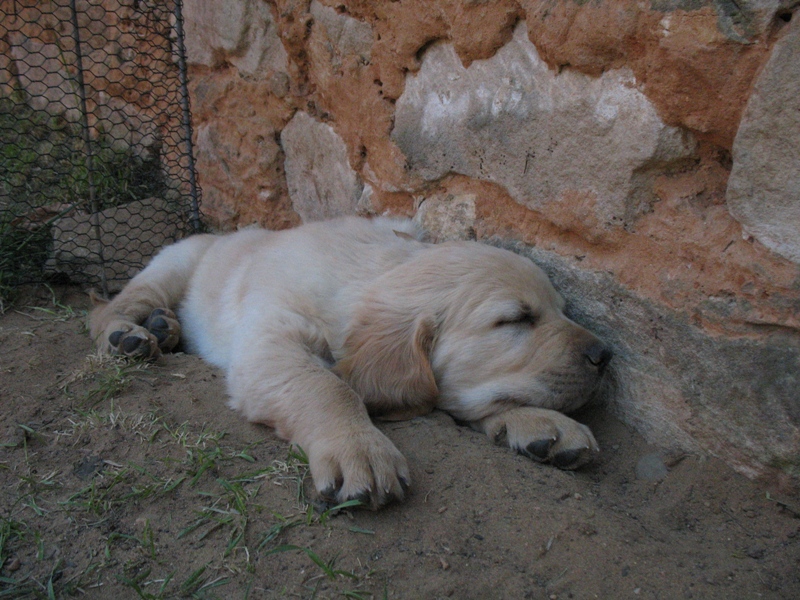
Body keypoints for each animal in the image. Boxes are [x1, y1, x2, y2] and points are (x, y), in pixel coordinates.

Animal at [90, 216, 611, 509]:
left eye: (562, 309)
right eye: (516, 319)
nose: (606, 355)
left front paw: (541, 422)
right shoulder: (270, 340)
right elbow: (327, 385)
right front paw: (358, 449)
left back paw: (162, 327)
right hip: (173, 264)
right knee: (111, 307)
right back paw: (132, 335)